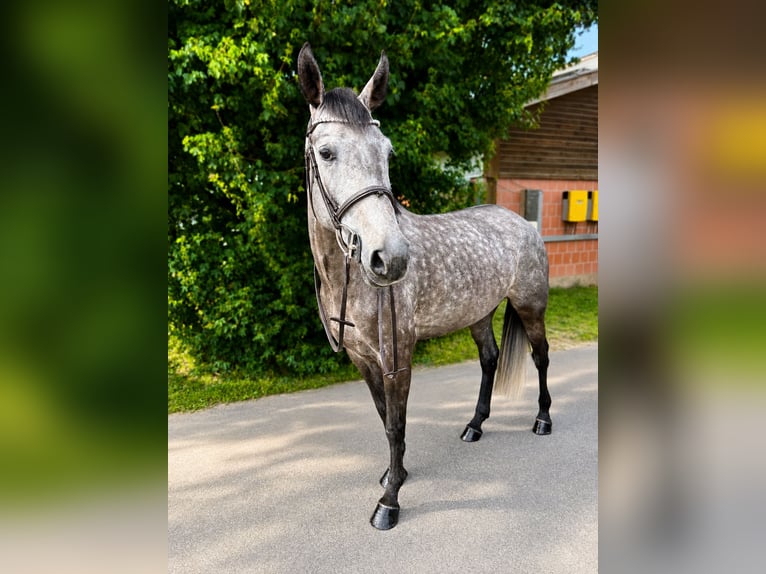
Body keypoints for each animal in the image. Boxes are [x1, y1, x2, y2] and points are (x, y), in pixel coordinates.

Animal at [297, 43, 551, 530]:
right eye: (325, 152)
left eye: (387, 152)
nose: (390, 257)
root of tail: (521, 222)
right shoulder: (363, 359)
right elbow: (384, 419)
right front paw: (391, 475)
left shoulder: (398, 356)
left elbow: (396, 423)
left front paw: (390, 501)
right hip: (479, 314)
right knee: (489, 360)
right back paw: (475, 425)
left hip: (531, 308)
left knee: (541, 358)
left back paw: (544, 420)